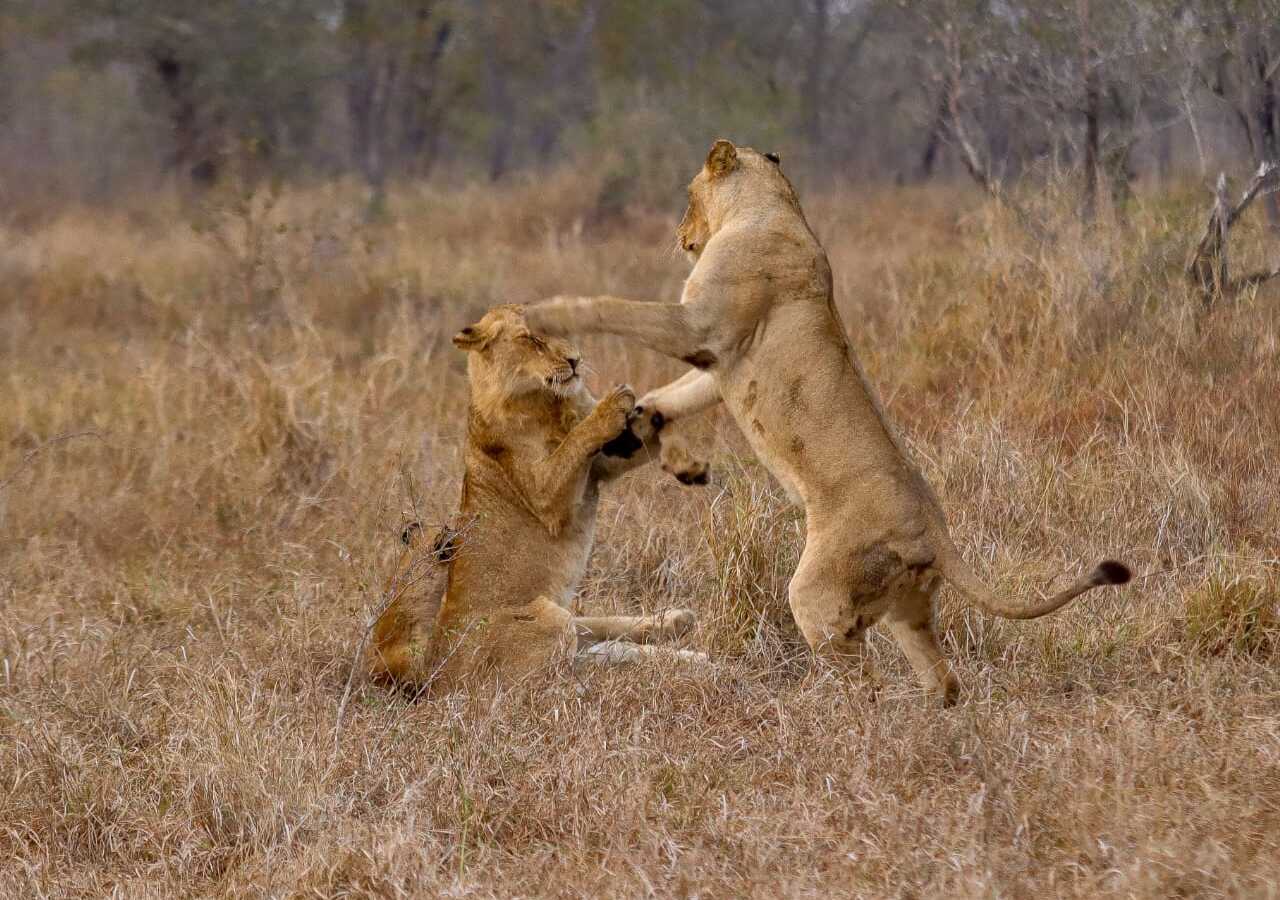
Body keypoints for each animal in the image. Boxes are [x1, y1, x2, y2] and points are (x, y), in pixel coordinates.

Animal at [368, 304, 705, 691]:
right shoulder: (547, 496)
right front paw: (612, 403)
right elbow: (575, 440)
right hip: (546, 616)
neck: (548, 403)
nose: (576, 360)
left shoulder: (602, 465)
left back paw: (681, 630)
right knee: (566, 671)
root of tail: (437, 664)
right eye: (532, 339)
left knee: (598, 641)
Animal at [523, 139, 1131, 705]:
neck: (771, 207)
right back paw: (930, 719)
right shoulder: (720, 360)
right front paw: (666, 448)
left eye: (689, 197)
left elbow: (613, 308)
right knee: (944, 679)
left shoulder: (699, 327)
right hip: (907, 607)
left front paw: (543, 312)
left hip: (816, 594)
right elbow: (665, 397)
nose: (680, 233)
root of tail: (935, 529)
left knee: (864, 681)